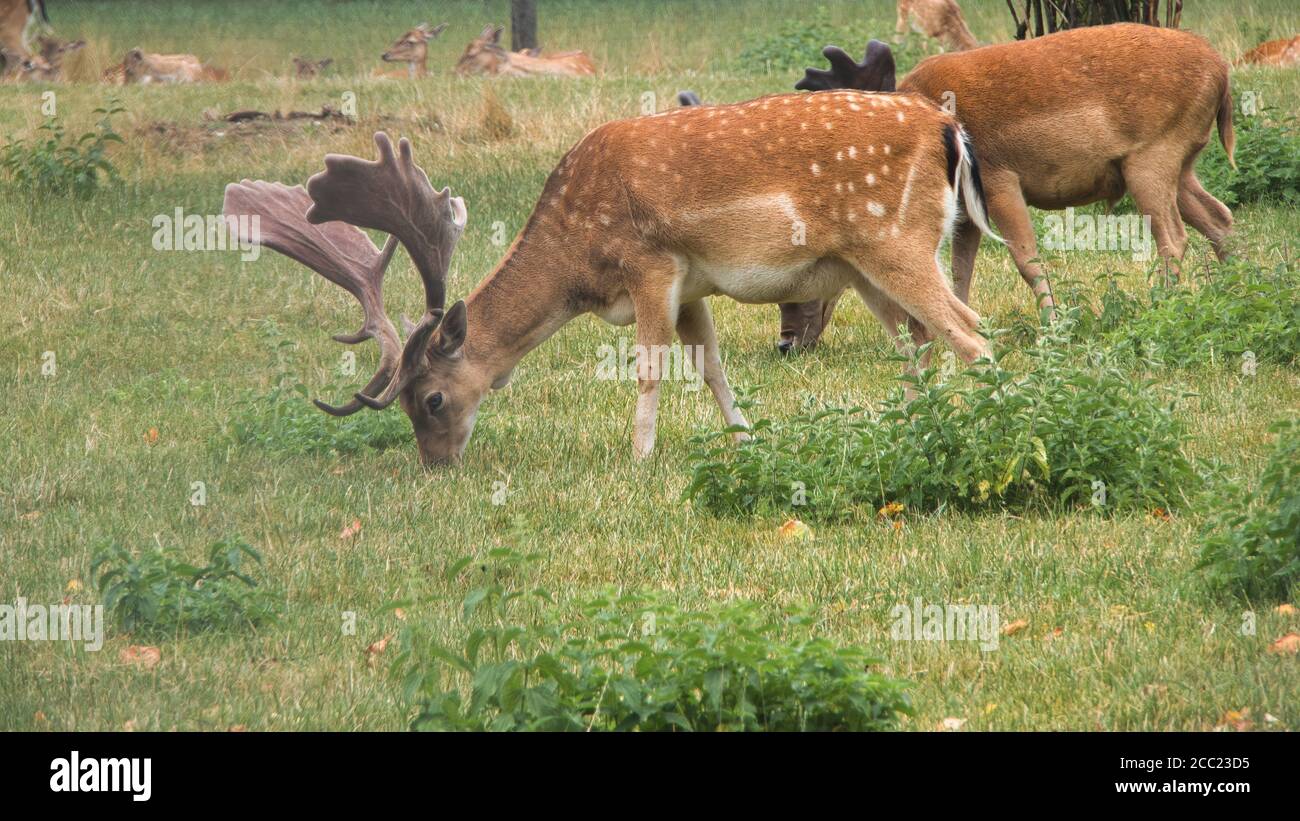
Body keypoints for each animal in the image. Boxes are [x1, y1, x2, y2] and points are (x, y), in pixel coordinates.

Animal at [226, 93, 993, 465]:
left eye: (433, 399)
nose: (435, 463)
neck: (580, 264)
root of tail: (947, 128)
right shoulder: (692, 287)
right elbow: (712, 367)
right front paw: (745, 441)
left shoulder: (650, 263)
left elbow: (650, 368)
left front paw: (640, 459)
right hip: (860, 269)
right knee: (920, 340)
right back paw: (913, 430)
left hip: (895, 240)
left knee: (971, 330)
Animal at [780, 23, 1237, 353]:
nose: (788, 342)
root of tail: (1223, 74)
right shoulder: (965, 210)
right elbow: (959, 269)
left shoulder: (999, 177)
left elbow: (1026, 259)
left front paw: (1052, 328)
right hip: (1180, 163)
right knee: (1220, 216)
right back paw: (1239, 285)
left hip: (1152, 153)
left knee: (1173, 235)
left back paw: (1162, 306)